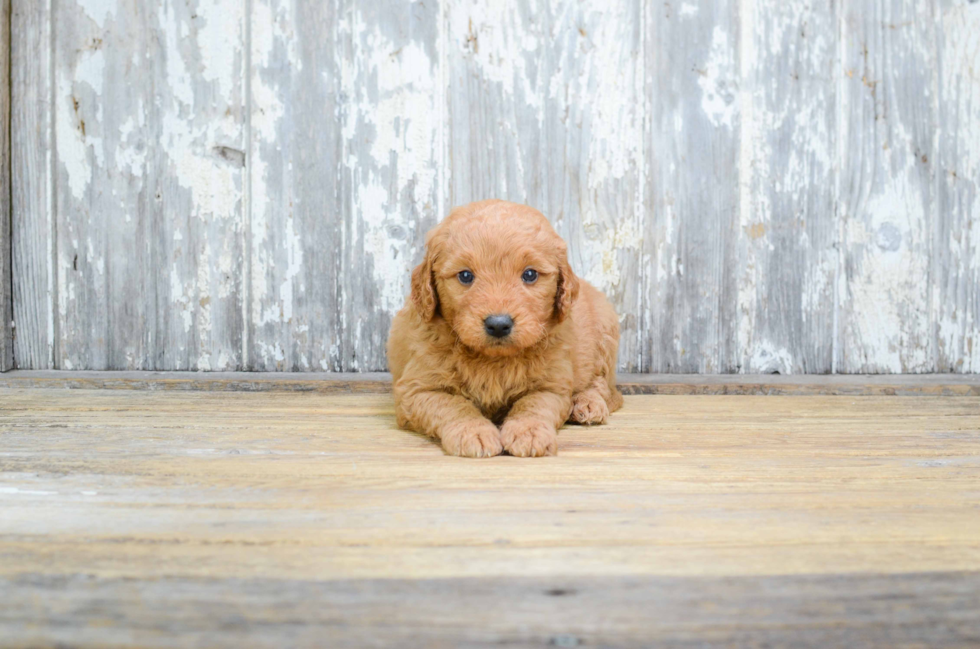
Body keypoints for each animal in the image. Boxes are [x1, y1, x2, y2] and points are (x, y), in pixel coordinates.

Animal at [384, 197, 620, 456]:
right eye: (465, 276)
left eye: (530, 274)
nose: (498, 325)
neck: (493, 360)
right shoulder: (417, 389)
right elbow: (452, 404)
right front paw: (472, 432)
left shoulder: (552, 386)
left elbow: (533, 404)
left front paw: (529, 432)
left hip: (605, 333)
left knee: (603, 385)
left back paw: (588, 404)